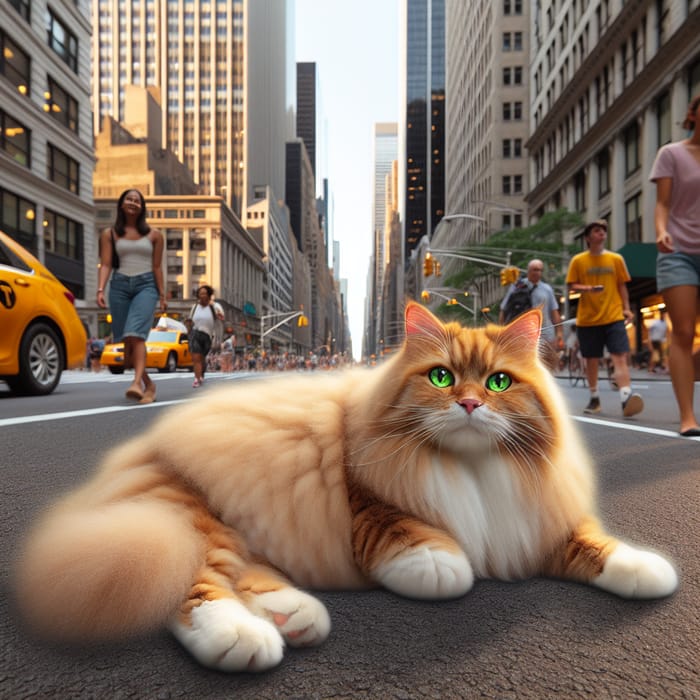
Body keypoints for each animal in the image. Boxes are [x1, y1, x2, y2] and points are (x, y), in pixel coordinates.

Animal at [16, 304, 680, 672]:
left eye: (497, 382)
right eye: (442, 377)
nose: (468, 404)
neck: (472, 468)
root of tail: (128, 462)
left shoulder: (537, 520)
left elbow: (595, 544)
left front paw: (646, 569)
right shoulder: (373, 509)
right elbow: (433, 553)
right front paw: (443, 565)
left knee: (241, 573)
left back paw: (294, 616)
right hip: (190, 519)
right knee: (196, 582)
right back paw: (243, 637)